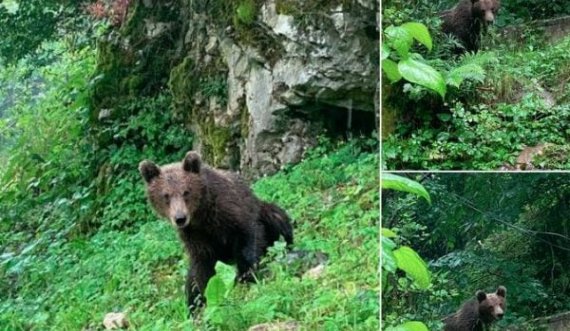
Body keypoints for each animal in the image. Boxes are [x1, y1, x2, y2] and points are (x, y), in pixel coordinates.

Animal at [138, 152, 292, 312]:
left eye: (186, 192)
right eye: (166, 195)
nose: (180, 218)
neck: (201, 215)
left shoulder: (234, 213)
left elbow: (248, 240)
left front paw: (246, 278)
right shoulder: (195, 235)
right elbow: (202, 269)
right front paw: (204, 298)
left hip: (266, 212)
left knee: (277, 220)